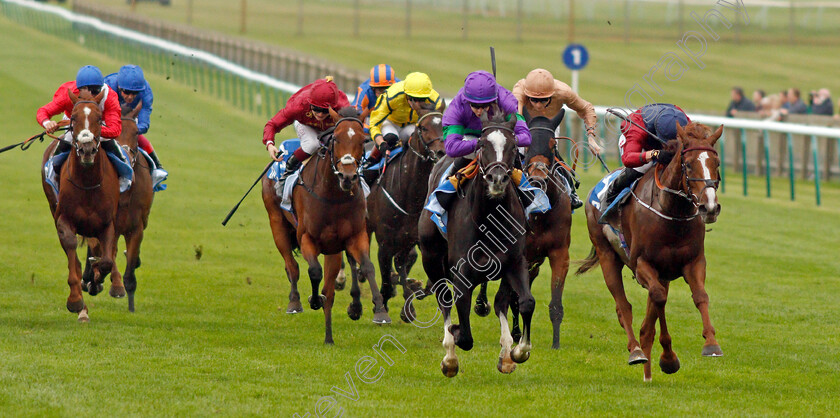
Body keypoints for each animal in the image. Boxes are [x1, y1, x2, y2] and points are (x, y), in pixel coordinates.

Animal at [40, 89, 121, 324]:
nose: (86, 150)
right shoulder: (64, 220)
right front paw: (76, 301)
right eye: (74, 118)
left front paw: (96, 280)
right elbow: (72, 257)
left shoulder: (107, 223)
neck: (86, 184)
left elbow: (106, 261)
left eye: (100, 118)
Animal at [85, 101, 158, 310]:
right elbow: (110, 257)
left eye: (136, 132)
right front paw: (115, 286)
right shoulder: (110, 227)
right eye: (110, 131)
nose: (124, 155)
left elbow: (131, 266)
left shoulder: (137, 227)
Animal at [262, 105, 390, 342]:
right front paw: (314, 299)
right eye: (336, 139)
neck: (333, 196)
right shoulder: (307, 238)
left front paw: (380, 311)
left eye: (363, 140)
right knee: (291, 266)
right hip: (276, 222)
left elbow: (367, 266)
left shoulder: (353, 236)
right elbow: (314, 271)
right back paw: (295, 301)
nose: (348, 176)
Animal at [418, 109, 536, 378]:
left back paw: (506, 353)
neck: (489, 220)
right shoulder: (462, 272)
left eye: (513, 145)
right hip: (431, 257)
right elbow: (464, 333)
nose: (497, 178)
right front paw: (454, 338)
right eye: (482, 144)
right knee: (444, 299)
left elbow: (525, 302)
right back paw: (450, 356)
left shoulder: (515, 262)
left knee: (501, 302)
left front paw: (518, 351)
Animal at [576, 121, 724, 382]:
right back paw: (636, 351)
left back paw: (649, 370)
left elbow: (700, 296)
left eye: (715, 164)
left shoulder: (693, 262)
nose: (709, 207)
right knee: (623, 306)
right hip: (607, 255)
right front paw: (668, 358)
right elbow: (658, 298)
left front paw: (711, 344)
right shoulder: (643, 264)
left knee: (648, 317)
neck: (672, 212)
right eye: (688, 164)